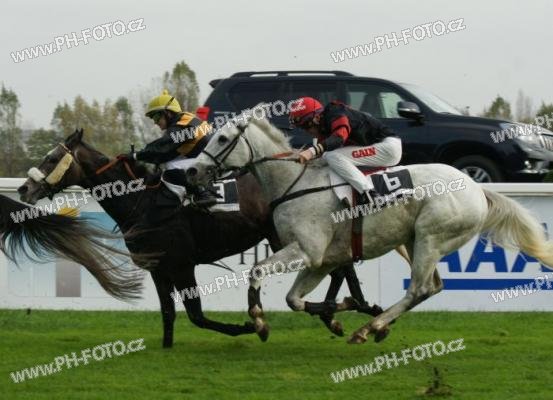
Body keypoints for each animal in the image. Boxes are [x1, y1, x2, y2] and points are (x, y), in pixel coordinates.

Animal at [16, 129, 386, 346]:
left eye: (52, 158)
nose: (24, 189)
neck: (142, 202)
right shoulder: (158, 268)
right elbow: (168, 312)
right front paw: (166, 347)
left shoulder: (182, 266)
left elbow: (196, 315)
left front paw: (249, 326)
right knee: (339, 268)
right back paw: (349, 311)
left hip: (291, 239)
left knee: (338, 269)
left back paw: (344, 312)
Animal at [185, 116, 553, 344]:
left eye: (222, 138)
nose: (192, 171)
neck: (294, 182)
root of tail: (477, 189)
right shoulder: (323, 260)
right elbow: (295, 300)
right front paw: (340, 311)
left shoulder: (308, 251)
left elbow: (258, 271)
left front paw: (260, 322)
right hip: (417, 242)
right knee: (432, 286)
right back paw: (373, 326)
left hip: (430, 237)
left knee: (418, 289)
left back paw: (368, 328)